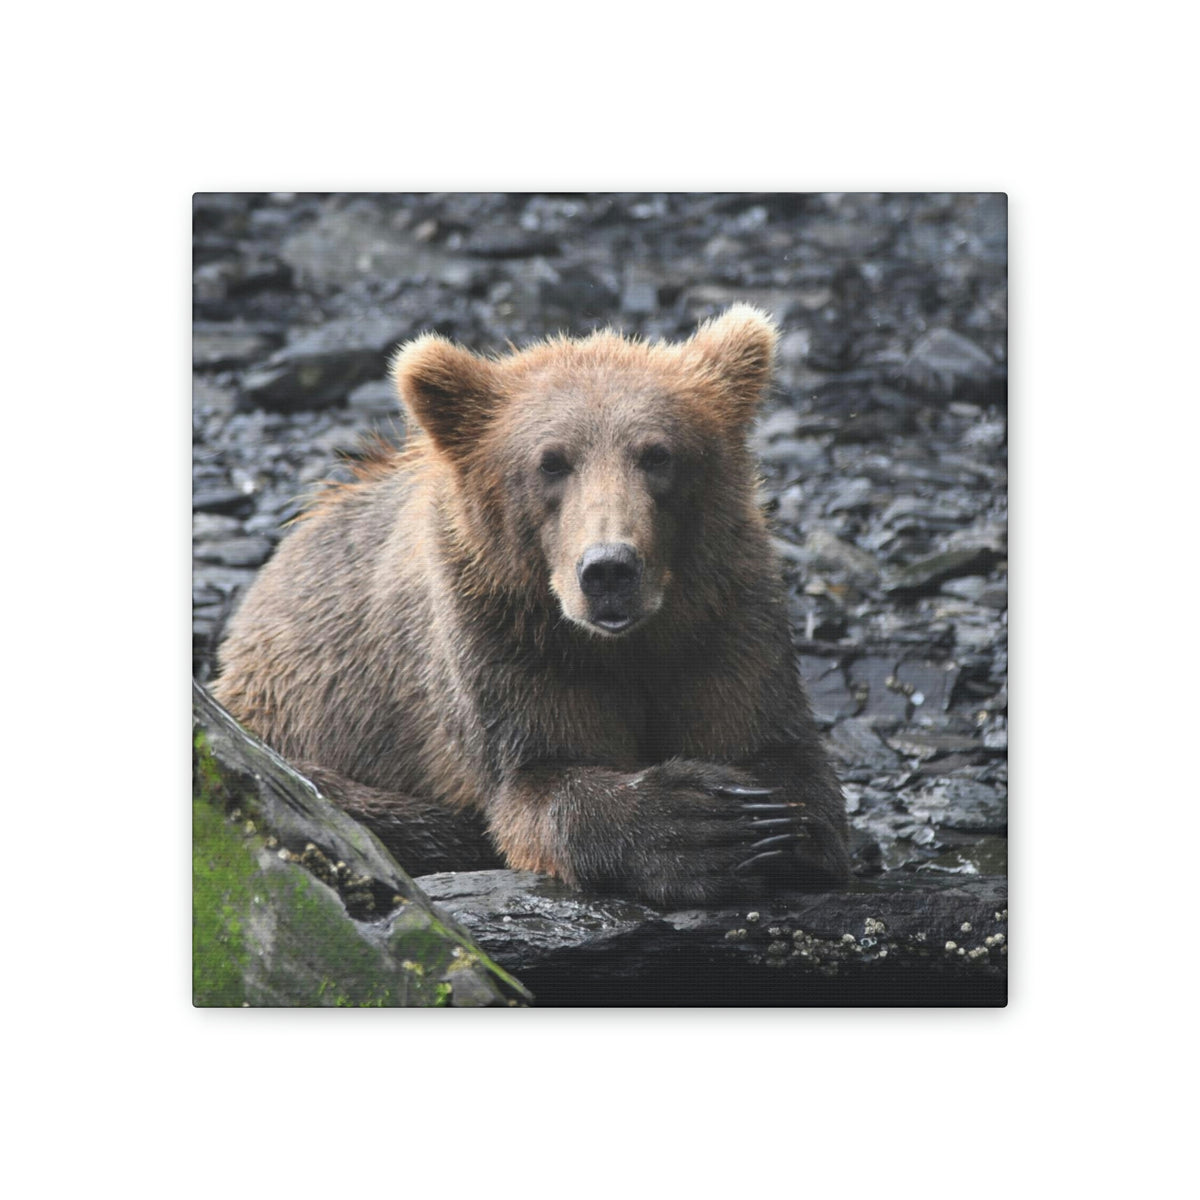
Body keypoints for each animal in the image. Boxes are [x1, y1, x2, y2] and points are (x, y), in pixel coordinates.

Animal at [212, 305, 851, 906]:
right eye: (551, 461)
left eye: (657, 454)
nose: (609, 569)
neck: (623, 643)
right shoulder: (504, 637)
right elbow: (538, 780)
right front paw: (699, 824)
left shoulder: (723, 615)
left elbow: (775, 749)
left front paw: (768, 822)